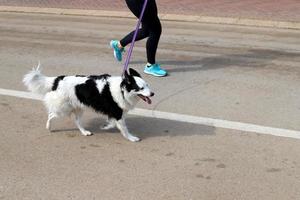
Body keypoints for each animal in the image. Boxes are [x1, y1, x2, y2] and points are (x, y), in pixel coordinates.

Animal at [22, 64, 155, 142]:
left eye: (147, 85)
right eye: (141, 88)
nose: (152, 93)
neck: (122, 89)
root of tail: (58, 79)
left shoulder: (114, 113)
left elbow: (113, 123)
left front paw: (106, 126)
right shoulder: (117, 113)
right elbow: (124, 128)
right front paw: (132, 138)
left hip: (78, 107)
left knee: (77, 121)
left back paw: (85, 132)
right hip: (63, 108)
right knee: (51, 114)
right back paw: (48, 127)